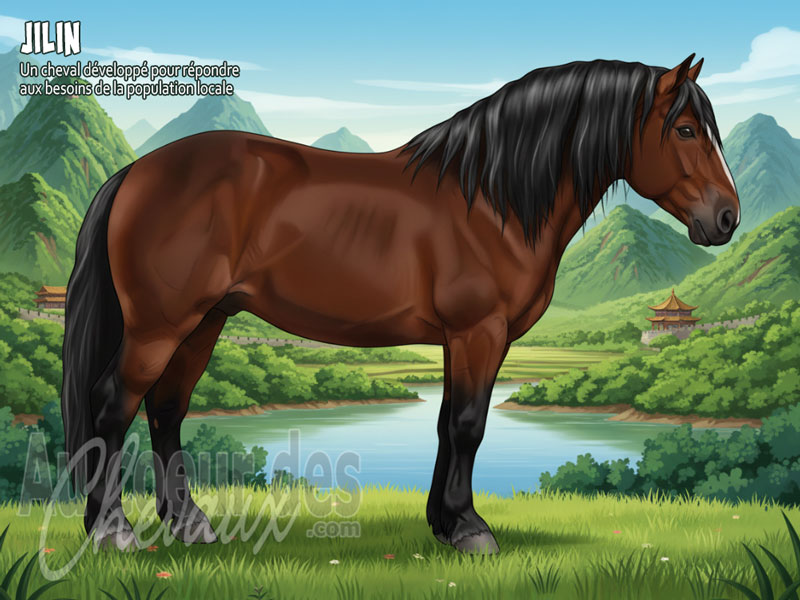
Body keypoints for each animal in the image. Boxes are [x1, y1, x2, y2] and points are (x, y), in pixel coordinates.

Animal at [62, 54, 739, 553]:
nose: (727, 218)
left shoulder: (458, 339)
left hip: (204, 322)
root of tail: (136, 173)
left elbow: (446, 424)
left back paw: (190, 523)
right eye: (685, 129)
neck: (491, 199)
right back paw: (113, 531)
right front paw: (470, 530)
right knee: (113, 406)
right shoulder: (479, 332)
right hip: (159, 325)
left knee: (166, 410)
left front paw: (443, 522)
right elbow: (468, 425)